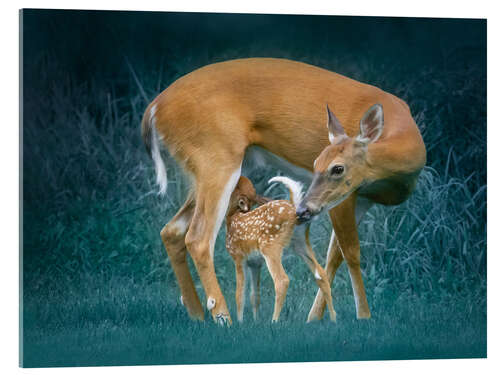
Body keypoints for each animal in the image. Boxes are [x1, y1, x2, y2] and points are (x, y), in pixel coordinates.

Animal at [226, 176, 336, 324]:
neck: (231, 219)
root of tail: (294, 210)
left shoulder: (238, 256)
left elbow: (239, 295)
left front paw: (239, 323)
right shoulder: (255, 263)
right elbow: (254, 296)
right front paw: (255, 321)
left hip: (270, 246)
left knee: (282, 280)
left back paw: (274, 321)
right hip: (301, 243)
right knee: (322, 274)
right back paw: (333, 319)